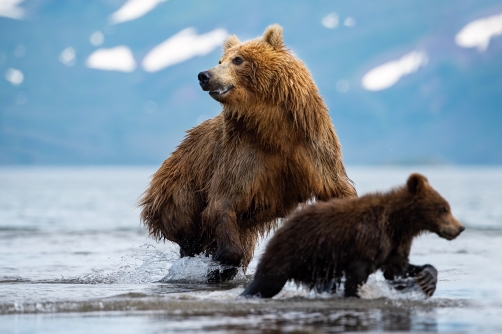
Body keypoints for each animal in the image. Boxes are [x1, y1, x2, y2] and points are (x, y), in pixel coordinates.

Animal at [139, 23, 354, 280]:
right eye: (220, 60)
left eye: (238, 59)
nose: (205, 75)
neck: (272, 128)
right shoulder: (243, 155)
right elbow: (222, 203)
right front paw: (220, 262)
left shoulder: (312, 148)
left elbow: (336, 188)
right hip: (178, 188)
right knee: (185, 225)